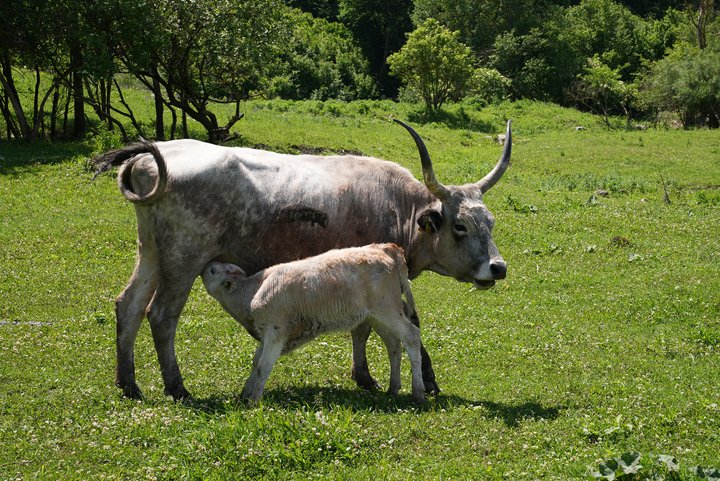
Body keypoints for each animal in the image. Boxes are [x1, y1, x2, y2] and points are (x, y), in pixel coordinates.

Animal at [201, 243, 425, 404]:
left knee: (411, 336)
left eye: (213, 271)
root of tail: (383, 247)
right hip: (376, 316)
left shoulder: (276, 331)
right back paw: (393, 387)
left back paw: (418, 393)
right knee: (394, 345)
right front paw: (245, 394)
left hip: (388, 310)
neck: (253, 292)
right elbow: (256, 362)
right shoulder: (266, 333)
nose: (206, 264)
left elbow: (263, 365)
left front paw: (253, 401)